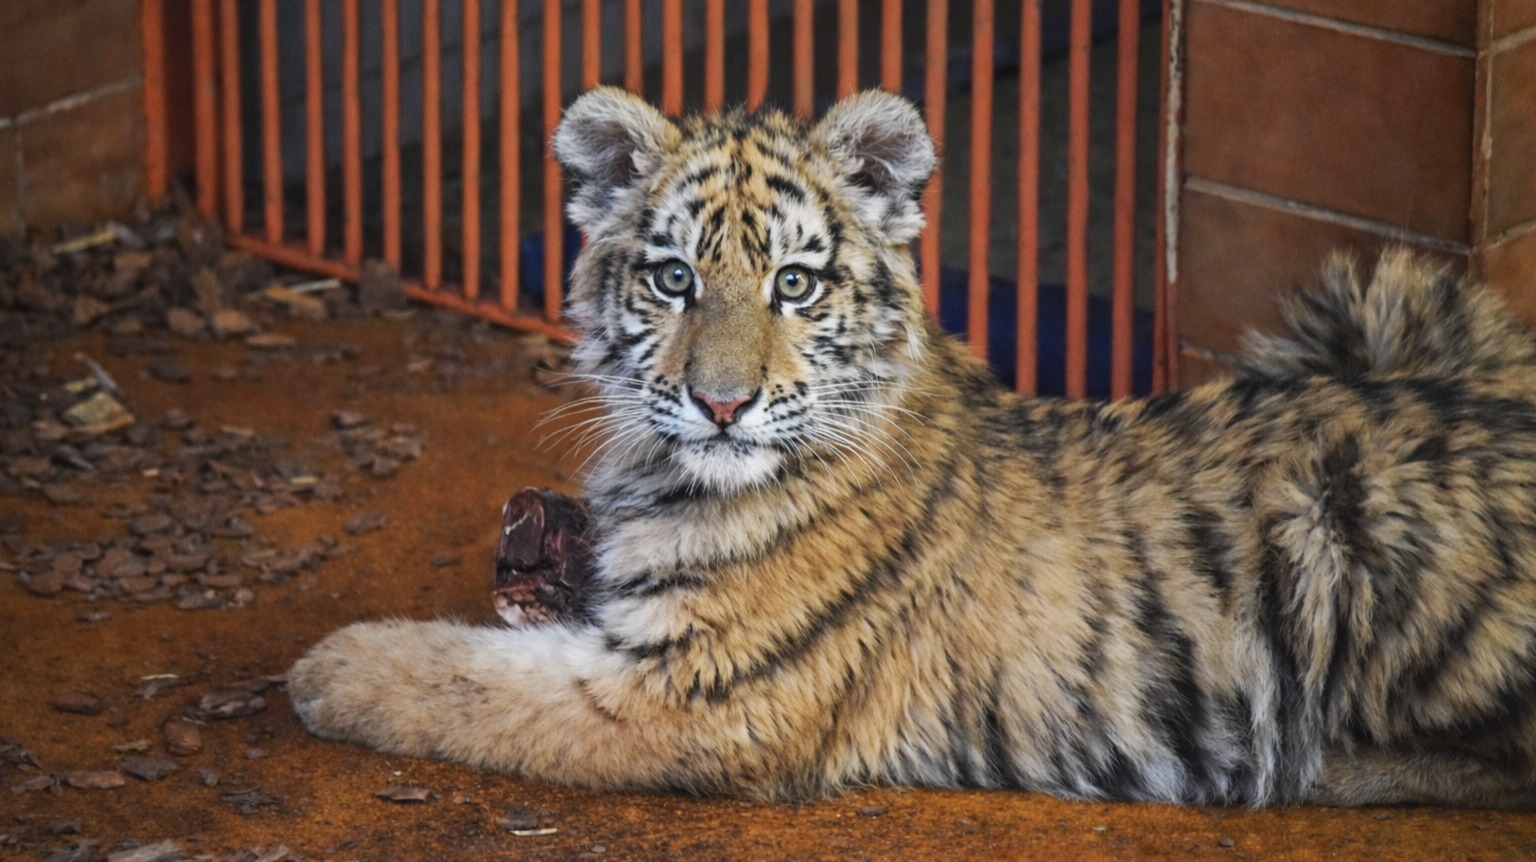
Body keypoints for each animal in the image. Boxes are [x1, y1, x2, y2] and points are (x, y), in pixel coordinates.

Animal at [288, 86, 1536, 808]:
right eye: (674, 277)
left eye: (794, 284)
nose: (721, 404)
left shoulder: (692, 692)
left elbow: (463, 681)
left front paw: (327, 666)